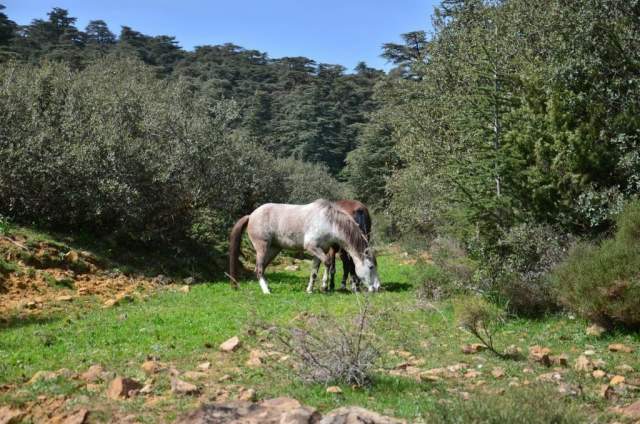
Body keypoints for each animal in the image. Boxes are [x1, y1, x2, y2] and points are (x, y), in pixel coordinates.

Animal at [229, 200, 380, 294]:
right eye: (371, 267)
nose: (377, 287)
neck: (329, 222)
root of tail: (251, 215)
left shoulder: (321, 250)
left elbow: (315, 270)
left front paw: (310, 290)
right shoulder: (312, 247)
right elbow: (328, 263)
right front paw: (324, 286)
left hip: (273, 249)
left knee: (263, 268)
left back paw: (269, 288)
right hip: (262, 248)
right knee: (259, 269)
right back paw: (266, 291)